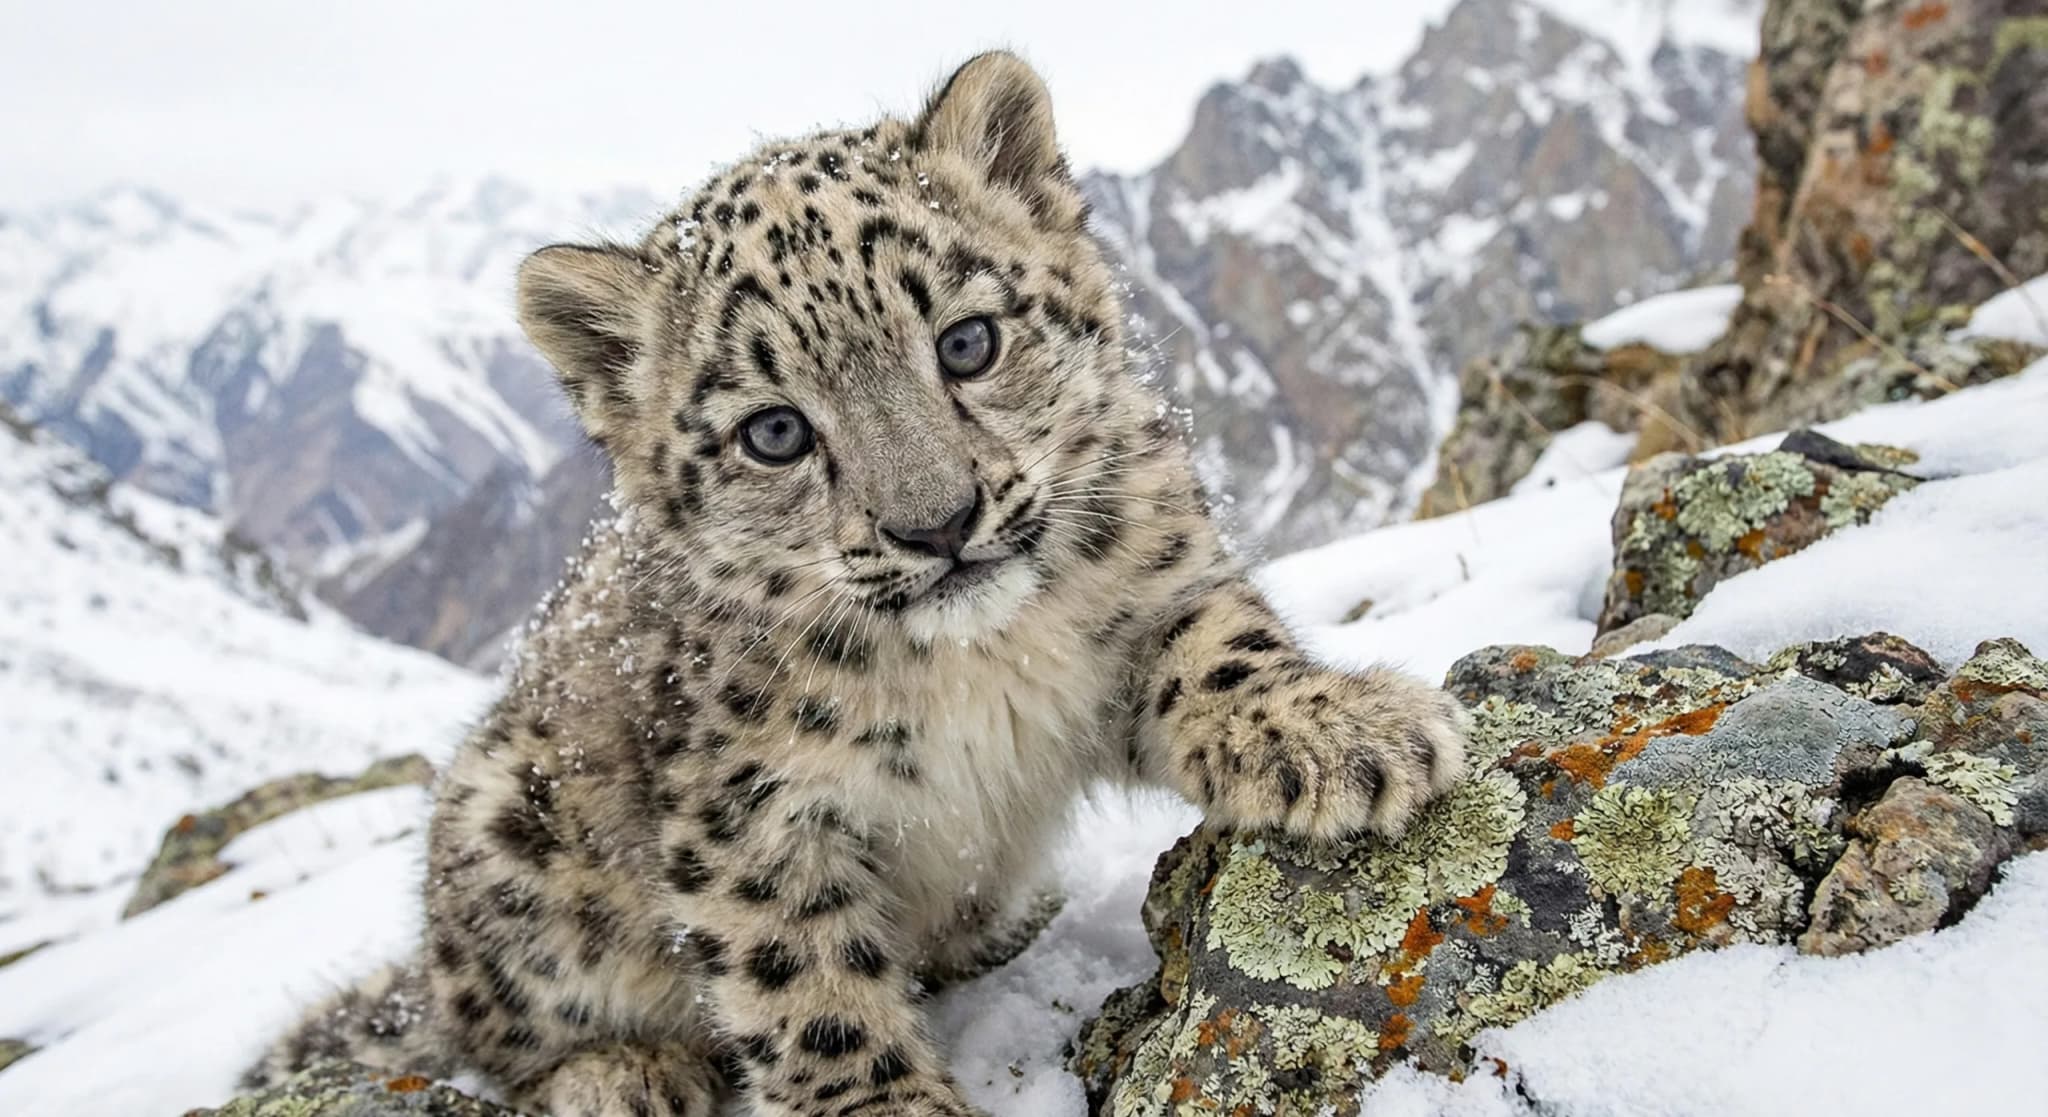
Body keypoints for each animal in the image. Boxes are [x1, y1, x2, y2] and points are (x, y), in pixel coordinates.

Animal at [251, 51, 1470, 1117]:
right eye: (775, 432)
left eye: (967, 341)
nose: (937, 523)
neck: (980, 666)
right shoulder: (750, 812)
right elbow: (805, 981)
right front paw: (879, 1099)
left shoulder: (1150, 582)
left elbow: (1218, 648)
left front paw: (1345, 731)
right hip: (504, 833)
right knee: (492, 1032)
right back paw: (621, 1072)